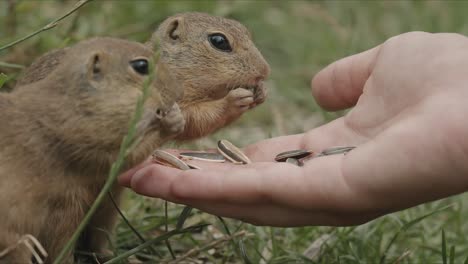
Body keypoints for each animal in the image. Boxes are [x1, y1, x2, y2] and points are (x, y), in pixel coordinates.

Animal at [0, 37, 184, 264]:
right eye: (141, 66)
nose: (179, 92)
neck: (75, 100)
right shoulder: (87, 136)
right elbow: (122, 156)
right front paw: (172, 121)